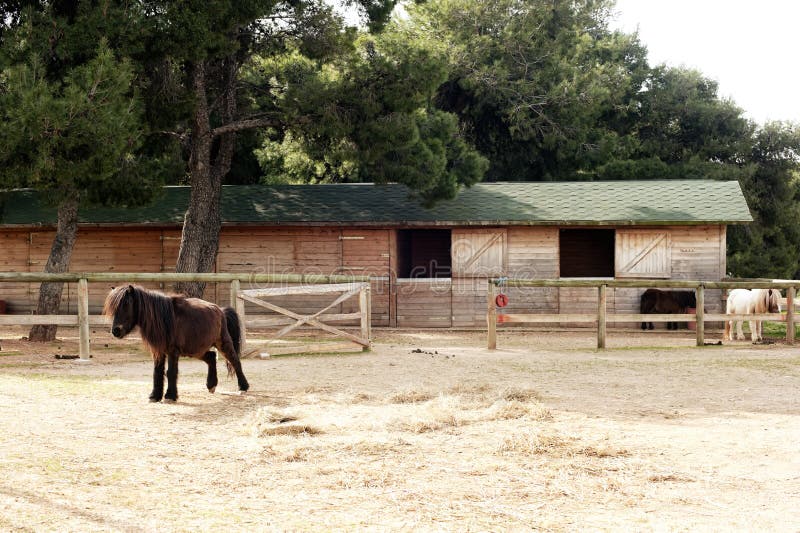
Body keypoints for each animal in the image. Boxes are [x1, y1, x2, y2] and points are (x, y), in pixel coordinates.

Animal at [103, 285, 249, 402]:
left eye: (126, 304)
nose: (116, 331)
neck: (164, 318)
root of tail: (220, 310)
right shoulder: (158, 351)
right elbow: (157, 372)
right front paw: (155, 396)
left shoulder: (173, 351)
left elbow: (171, 372)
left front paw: (170, 396)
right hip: (196, 350)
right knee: (211, 357)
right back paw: (211, 385)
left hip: (222, 343)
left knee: (235, 361)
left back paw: (243, 387)